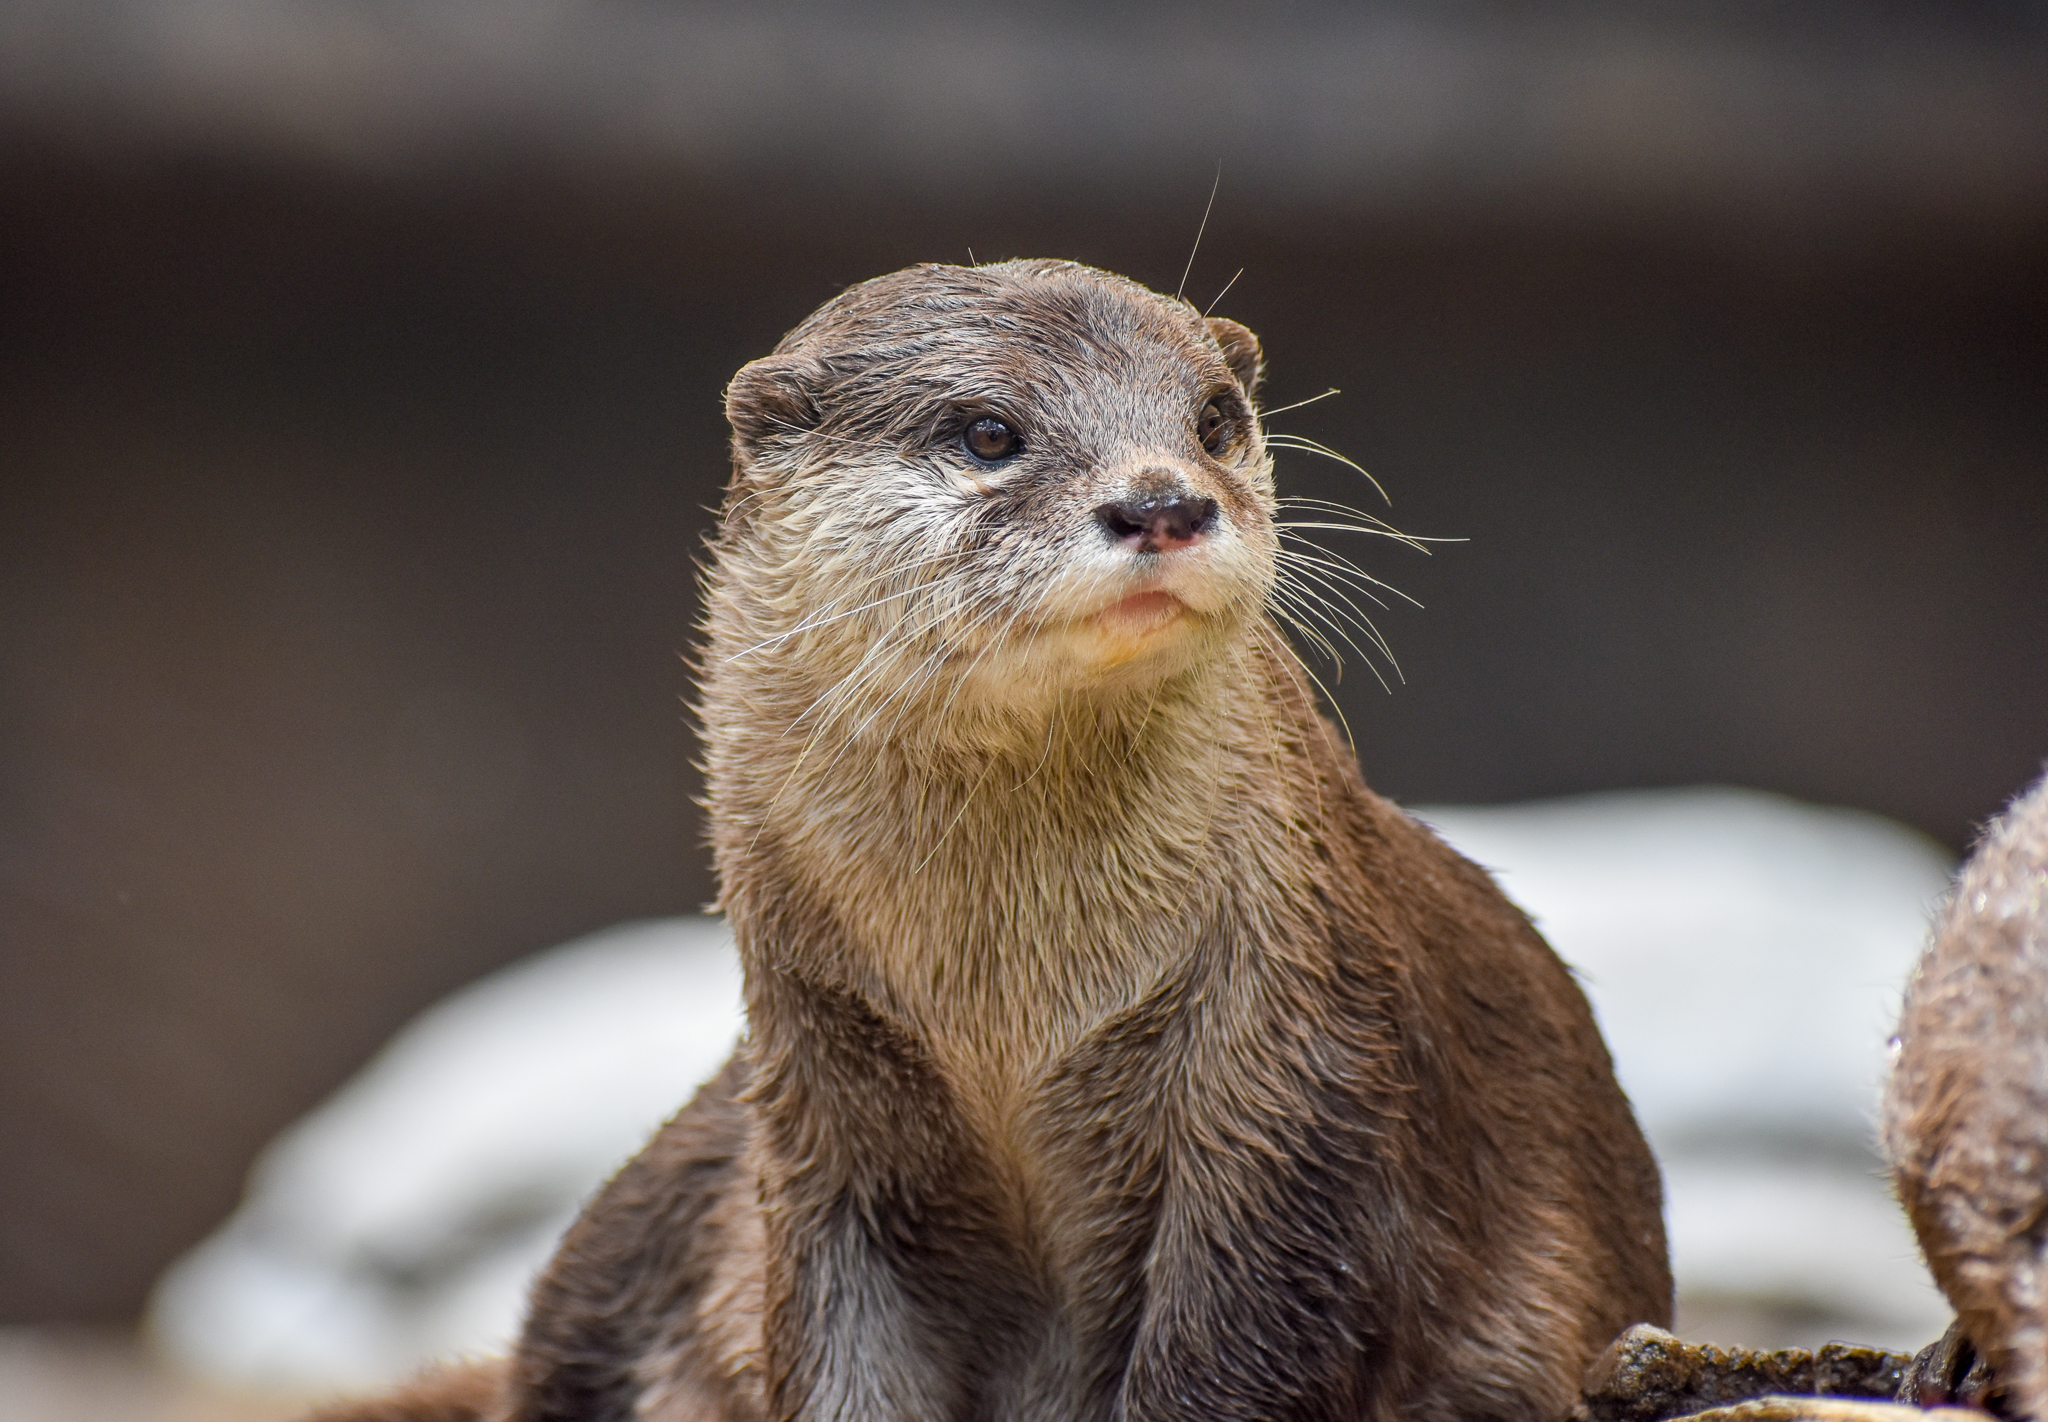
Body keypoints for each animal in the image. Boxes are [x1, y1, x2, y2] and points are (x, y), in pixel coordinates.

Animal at [314, 259, 1671, 1422]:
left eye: (1214, 419)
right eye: (984, 433)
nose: (1162, 500)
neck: (1009, 1009)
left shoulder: (1291, 1089)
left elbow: (1243, 1345)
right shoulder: (819, 1108)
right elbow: (836, 1342)